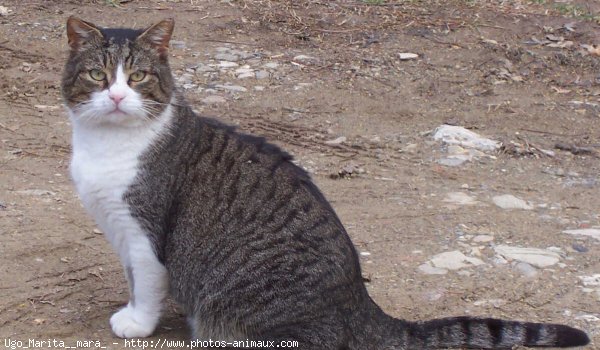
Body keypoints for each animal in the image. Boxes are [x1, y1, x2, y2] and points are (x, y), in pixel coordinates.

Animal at [62, 17, 592, 350]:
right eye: (96, 75)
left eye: (138, 77)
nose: (116, 97)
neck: (106, 144)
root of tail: (360, 301)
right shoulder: (118, 229)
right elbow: (133, 278)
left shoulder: (143, 231)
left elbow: (147, 282)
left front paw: (136, 321)